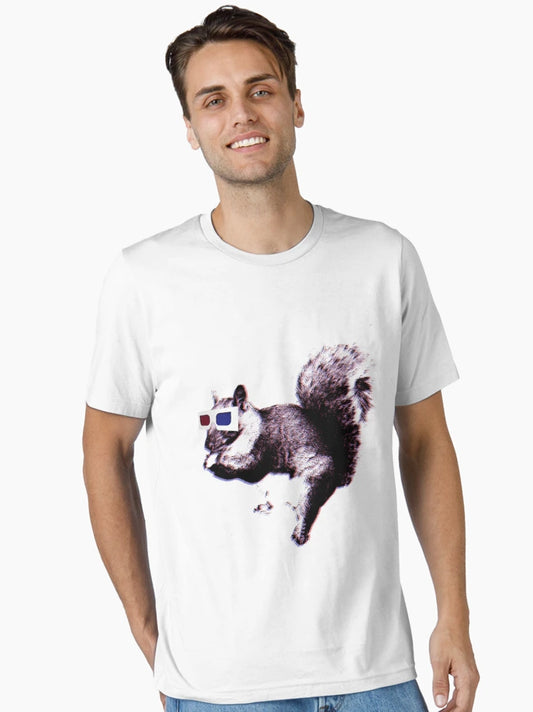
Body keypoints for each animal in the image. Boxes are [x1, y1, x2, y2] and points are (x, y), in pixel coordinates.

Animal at [200, 343, 373, 546]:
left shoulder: (261, 448)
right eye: (206, 420)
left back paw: (299, 533)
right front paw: (209, 459)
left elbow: (246, 465)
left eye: (227, 420)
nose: (207, 445)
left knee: (305, 510)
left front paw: (215, 460)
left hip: (314, 481)